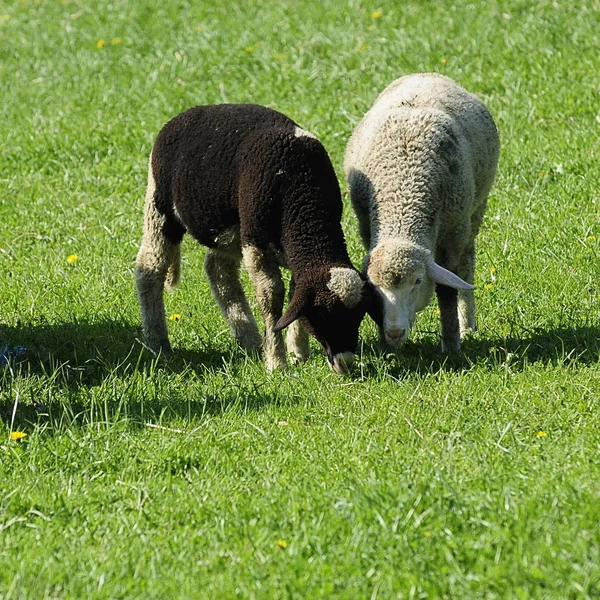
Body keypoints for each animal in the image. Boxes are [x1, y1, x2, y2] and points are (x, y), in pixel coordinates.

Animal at [136, 105, 376, 372]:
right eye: (324, 315)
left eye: (359, 316)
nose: (345, 363)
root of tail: (185, 114)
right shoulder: (255, 239)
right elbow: (271, 295)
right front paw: (276, 362)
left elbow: (295, 292)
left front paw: (297, 351)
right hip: (160, 205)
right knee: (150, 268)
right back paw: (158, 343)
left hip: (229, 229)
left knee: (219, 271)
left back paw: (248, 338)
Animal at [344, 73, 500, 352]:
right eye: (373, 286)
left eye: (417, 281)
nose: (394, 332)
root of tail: (426, 75)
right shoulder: (366, 228)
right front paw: (385, 344)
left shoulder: (452, 236)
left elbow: (447, 291)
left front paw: (452, 344)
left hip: (475, 212)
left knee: (466, 267)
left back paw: (467, 323)